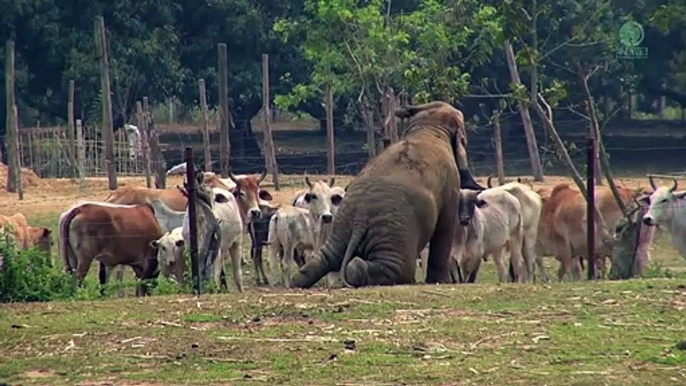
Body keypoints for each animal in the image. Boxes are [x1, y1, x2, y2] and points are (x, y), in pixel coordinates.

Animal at [292, 101, 482, 288]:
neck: (429, 127)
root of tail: (360, 219)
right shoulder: (451, 183)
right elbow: (445, 226)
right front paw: (441, 281)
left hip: (341, 226)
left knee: (325, 258)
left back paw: (297, 281)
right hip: (393, 235)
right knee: (395, 269)